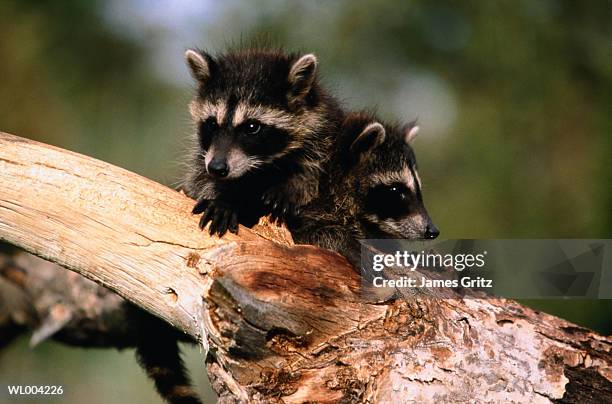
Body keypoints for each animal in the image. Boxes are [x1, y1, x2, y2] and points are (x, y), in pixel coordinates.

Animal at [182, 48, 344, 235]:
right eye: (212, 124)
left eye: (252, 127)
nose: (216, 168)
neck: (261, 167)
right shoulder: (205, 157)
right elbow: (201, 180)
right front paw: (223, 199)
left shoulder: (324, 132)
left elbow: (313, 171)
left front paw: (295, 184)